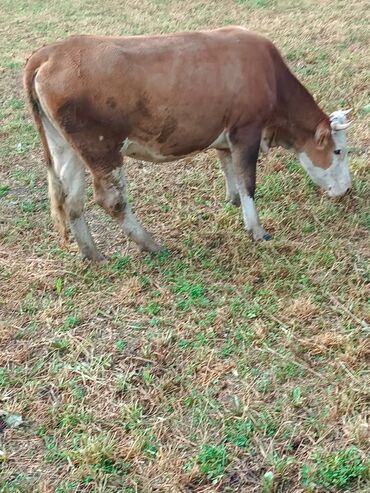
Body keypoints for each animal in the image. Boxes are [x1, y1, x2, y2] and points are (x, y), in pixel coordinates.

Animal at [23, 26, 352, 262]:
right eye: (338, 151)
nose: (348, 190)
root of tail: (52, 52)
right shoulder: (247, 130)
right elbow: (247, 181)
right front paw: (257, 230)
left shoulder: (226, 134)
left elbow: (228, 167)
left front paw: (232, 201)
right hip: (101, 148)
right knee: (112, 200)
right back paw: (151, 244)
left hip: (67, 148)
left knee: (71, 199)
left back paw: (92, 254)